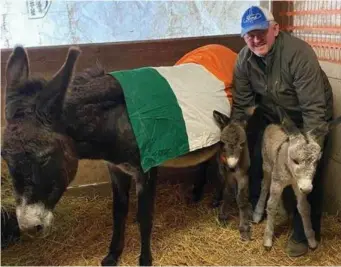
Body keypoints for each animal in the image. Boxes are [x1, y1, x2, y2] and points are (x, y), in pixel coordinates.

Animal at [1, 45, 220, 266]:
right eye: (5, 158)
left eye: (44, 158)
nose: (29, 227)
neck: (120, 120)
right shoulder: (116, 168)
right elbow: (119, 212)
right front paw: (113, 255)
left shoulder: (147, 170)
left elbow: (145, 216)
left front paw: (145, 259)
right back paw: (197, 193)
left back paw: (217, 202)